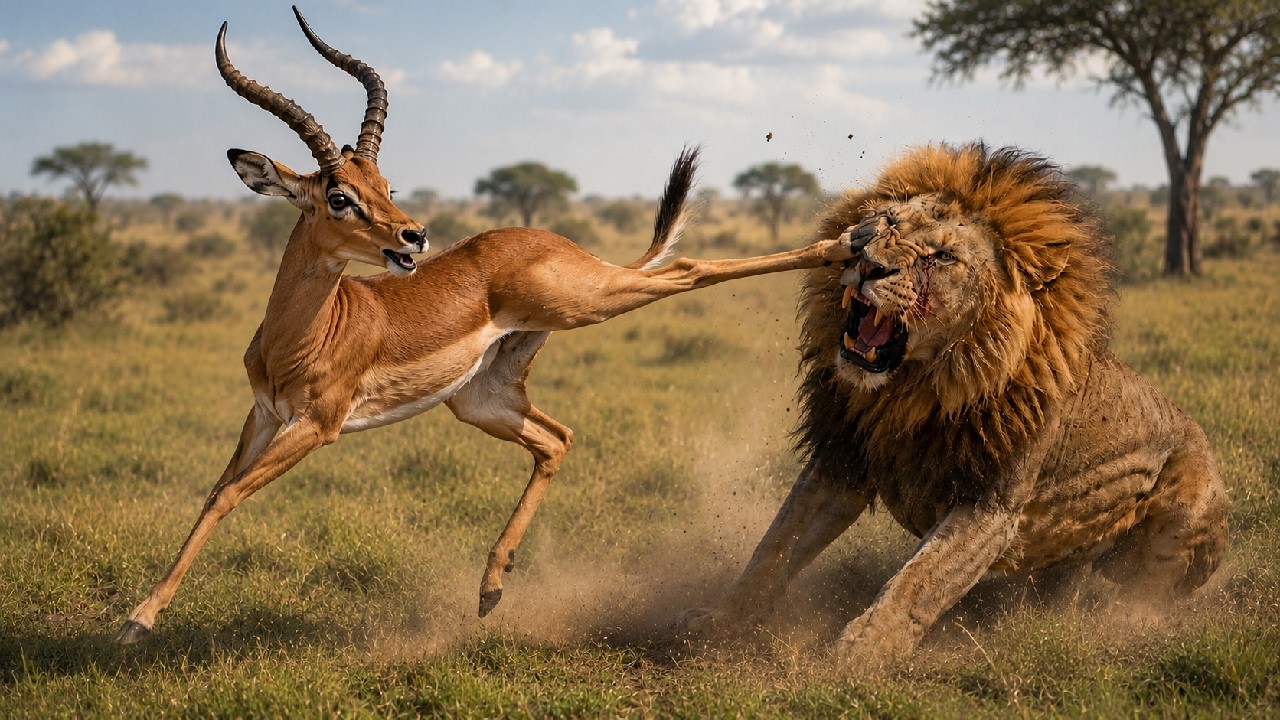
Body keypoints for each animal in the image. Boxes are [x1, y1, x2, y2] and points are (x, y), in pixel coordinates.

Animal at [114, 7, 855, 645]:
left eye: (384, 183)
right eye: (341, 195)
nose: (412, 236)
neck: (301, 335)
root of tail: (555, 242)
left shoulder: (317, 425)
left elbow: (229, 495)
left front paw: (137, 621)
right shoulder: (264, 414)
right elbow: (215, 492)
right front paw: (140, 615)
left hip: (588, 302)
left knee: (689, 267)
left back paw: (845, 243)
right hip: (483, 397)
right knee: (557, 438)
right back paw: (490, 589)